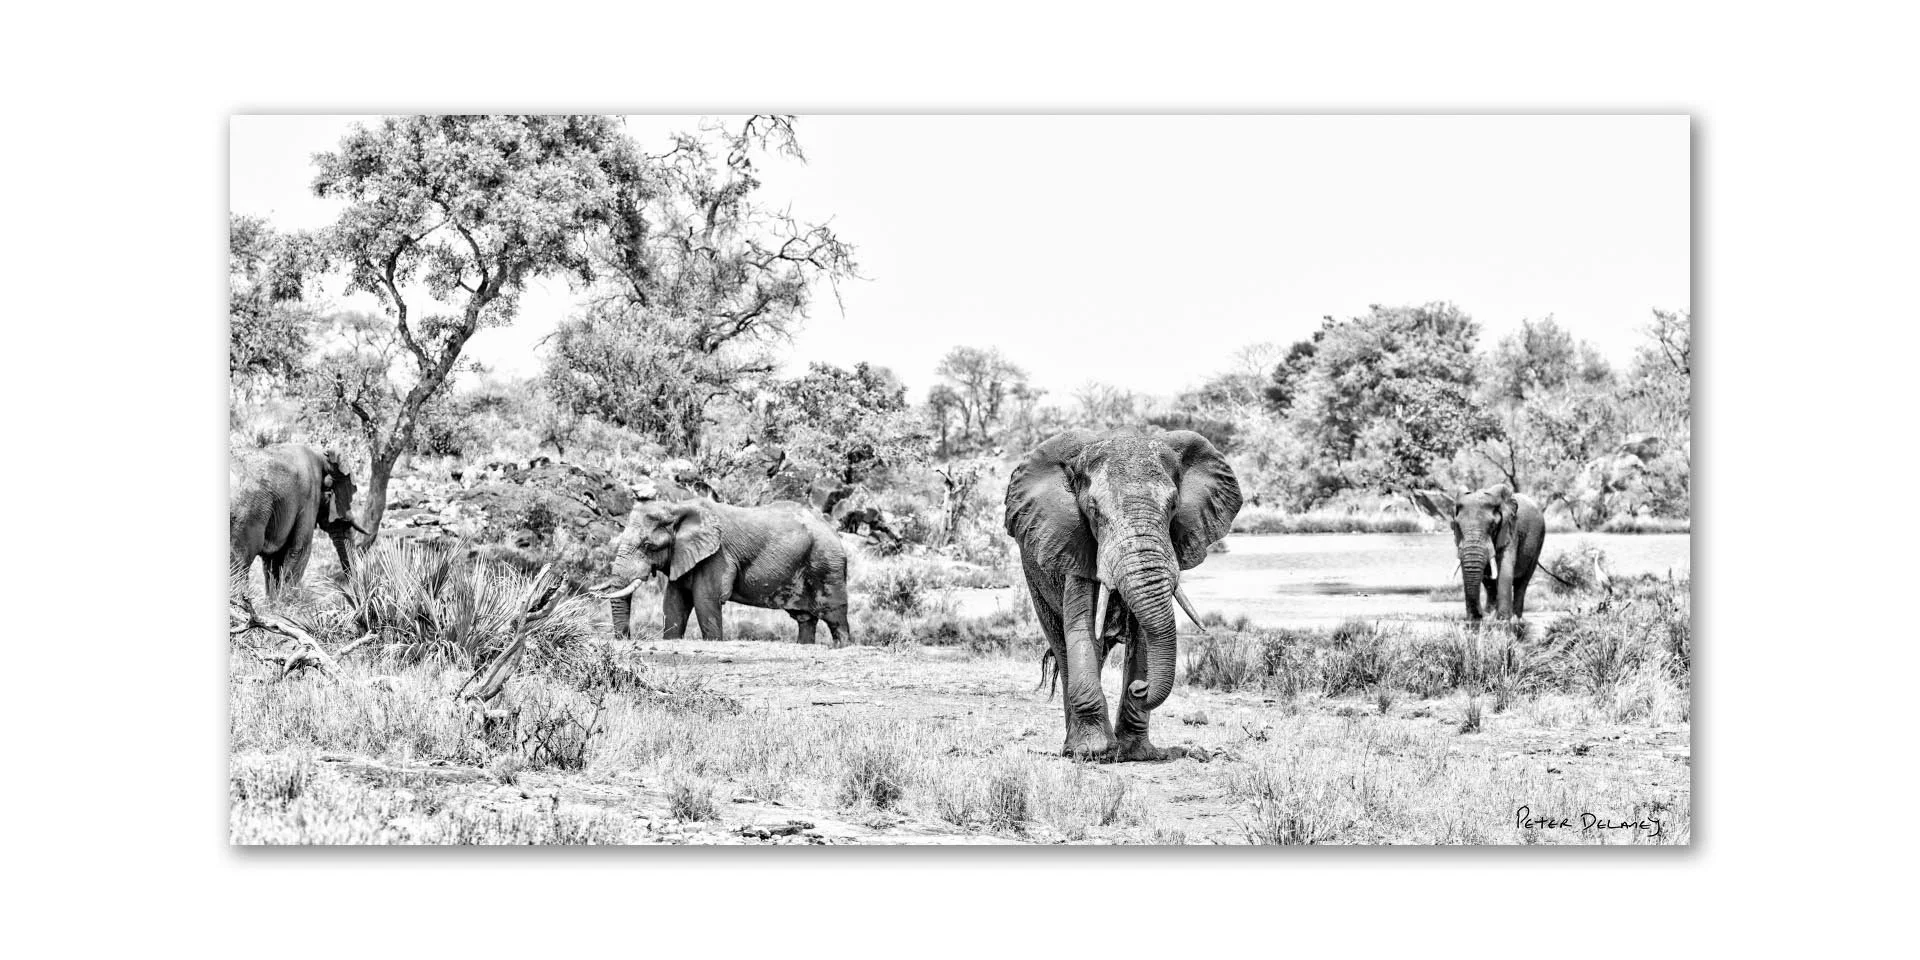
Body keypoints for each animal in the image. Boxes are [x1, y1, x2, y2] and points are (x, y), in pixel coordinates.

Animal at [229, 444, 368, 597]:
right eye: (331, 494)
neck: (321, 455)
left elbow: (273, 559)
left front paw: (275, 601)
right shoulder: (309, 498)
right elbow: (301, 548)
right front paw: (284, 600)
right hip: (247, 512)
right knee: (241, 560)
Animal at [596, 498, 850, 645]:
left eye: (648, 546)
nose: (626, 639)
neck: (676, 508)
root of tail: (833, 529)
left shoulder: (717, 555)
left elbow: (705, 600)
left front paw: (713, 642)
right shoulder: (683, 555)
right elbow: (674, 602)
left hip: (827, 564)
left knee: (834, 616)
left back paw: (842, 645)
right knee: (805, 618)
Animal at [1004, 428, 1241, 762]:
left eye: (1173, 506)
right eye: (1093, 510)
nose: (1141, 688)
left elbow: (1143, 638)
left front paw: (1136, 753)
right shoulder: (1076, 546)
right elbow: (1081, 627)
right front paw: (1093, 752)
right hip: (1034, 575)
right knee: (1063, 647)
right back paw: (1073, 748)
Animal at [1410, 483, 1546, 620]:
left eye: (1492, 525)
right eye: (1457, 525)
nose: (1482, 615)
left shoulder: (1510, 529)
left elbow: (1505, 566)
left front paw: (1503, 620)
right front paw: (1478, 619)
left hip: (1539, 540)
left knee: (1522, 582)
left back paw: (1515, 618)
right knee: (1489, 582)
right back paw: (1492, 613)